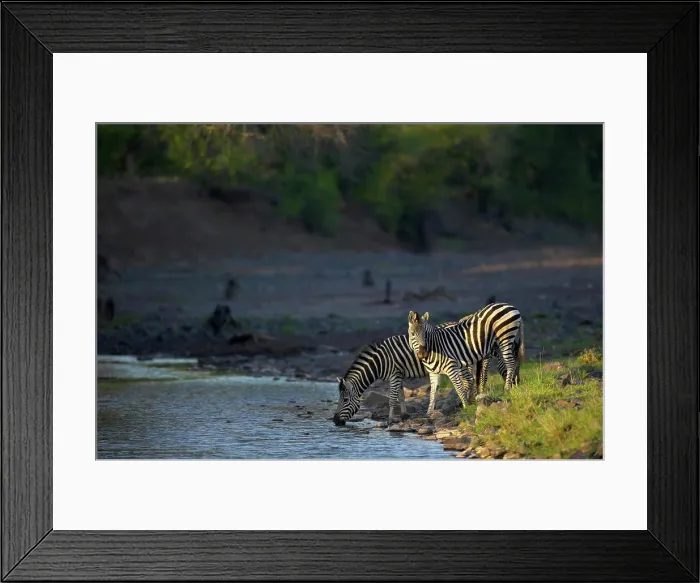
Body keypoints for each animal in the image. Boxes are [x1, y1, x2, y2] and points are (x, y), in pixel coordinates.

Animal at [332, 316, 508, 426]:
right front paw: (404, 415)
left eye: (345, 400)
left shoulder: (395, 374)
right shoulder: (399, 374)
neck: (381, 361)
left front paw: (390, 420)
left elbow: (392, 398)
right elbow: (401, 396)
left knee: (472, 378)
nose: (334, 421)